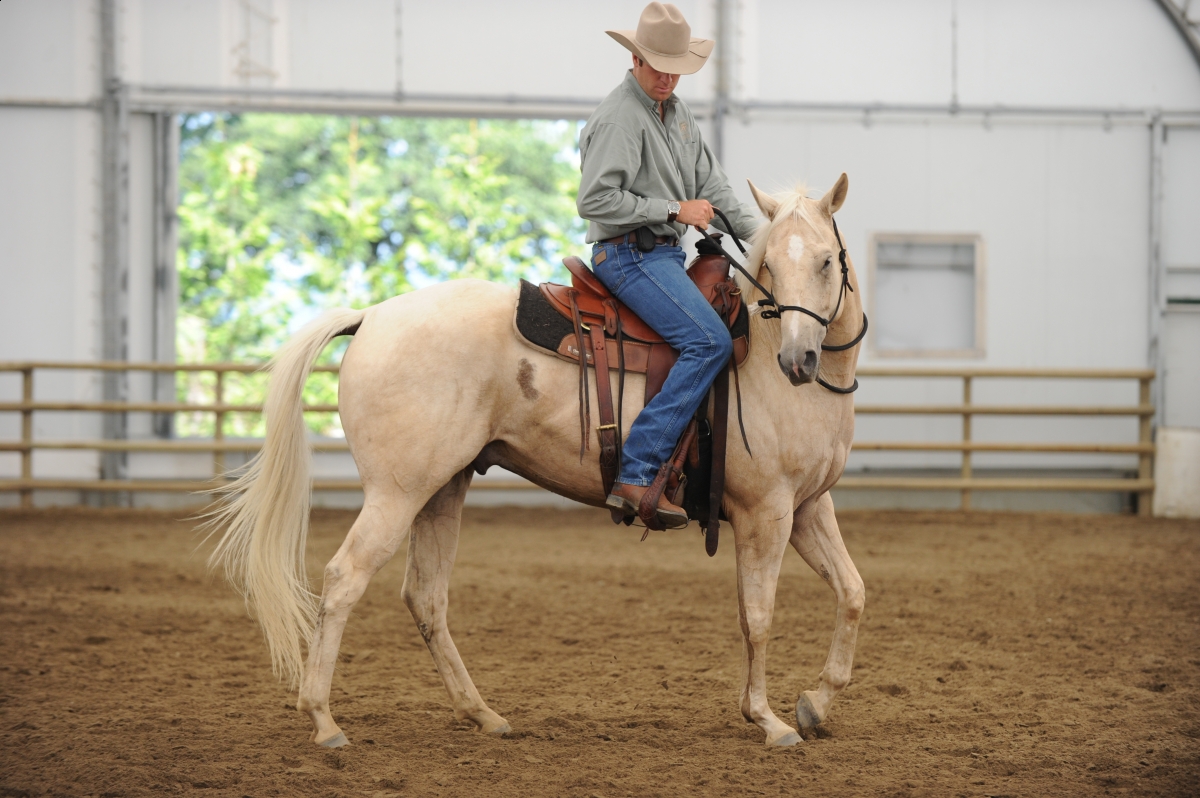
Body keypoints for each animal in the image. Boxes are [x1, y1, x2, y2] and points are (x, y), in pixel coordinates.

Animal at [208, 174, 866, 749]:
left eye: (824, 262)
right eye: (770, 265)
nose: (798, 361)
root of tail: (371, 316)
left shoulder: (808, 507)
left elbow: (852, 592)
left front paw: (815, 704)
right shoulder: (764, 513)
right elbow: (758, 614)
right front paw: (768, 720)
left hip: (441, 489)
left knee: (426, 596)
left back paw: (482, 713)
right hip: (396, 493)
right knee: (345, 579)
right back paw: (323, 720)